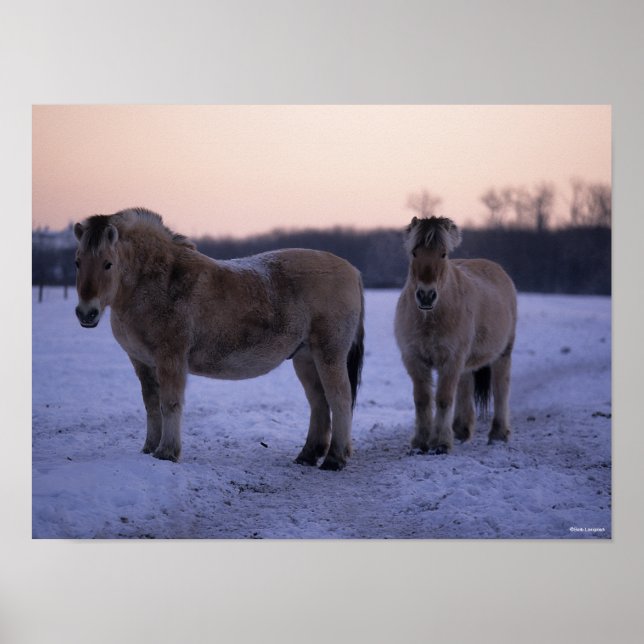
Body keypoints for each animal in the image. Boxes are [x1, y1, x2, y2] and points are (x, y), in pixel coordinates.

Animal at [73, 207, 364, 471]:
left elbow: (170, 404)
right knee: (318, 402)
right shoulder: (142, 362)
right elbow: (151, 405)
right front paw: (149, 449)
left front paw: (167, 453)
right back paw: (307, 455)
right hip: (305, 358)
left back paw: (334, 459)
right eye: (77, 262)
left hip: (329, 353)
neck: (160, 281)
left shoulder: (171, 358)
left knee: (339, 399)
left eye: (108, 263)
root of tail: (352, 270)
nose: (86, 313)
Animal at [394, 216, 517, 454]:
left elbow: (443, 398)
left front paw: (441, 443)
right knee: (465, 385)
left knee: (501, 387)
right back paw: (460, 430)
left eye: (443, 254)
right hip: (465, 361)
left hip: (502, 354)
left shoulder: (450, 359)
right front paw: (421, 442)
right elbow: (422, 399)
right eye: (414, 252)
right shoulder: (414, 359)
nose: (426, 296)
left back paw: (498, 434)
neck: (430, 318)